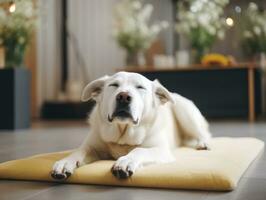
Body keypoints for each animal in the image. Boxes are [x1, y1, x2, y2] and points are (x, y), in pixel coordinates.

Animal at [51, 71, 211, 180]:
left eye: (140, 87)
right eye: (114, 85)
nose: (123, 96)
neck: (123, 134)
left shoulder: (161, 150)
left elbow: (140, 150)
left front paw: (126, 161)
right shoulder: (93, 146)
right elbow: (80, 151)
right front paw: (65, 162)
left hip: (184, 111)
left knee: (202, 132)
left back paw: (204, 143)